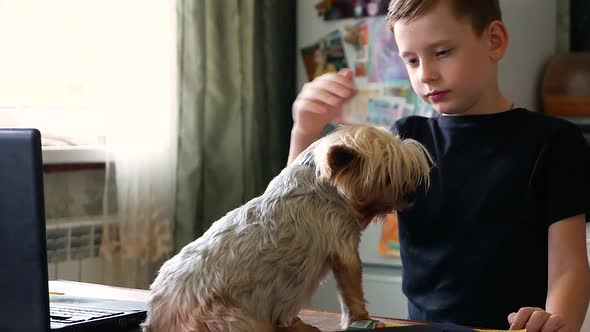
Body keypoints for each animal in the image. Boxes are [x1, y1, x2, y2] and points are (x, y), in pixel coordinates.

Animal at [141, 125, 432, 332]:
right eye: (388, 178)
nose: (412, 196)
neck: (322, 182)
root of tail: (158, 316)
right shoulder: (344, 248)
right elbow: (352, 293)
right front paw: (360, 319)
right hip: (230, 318)